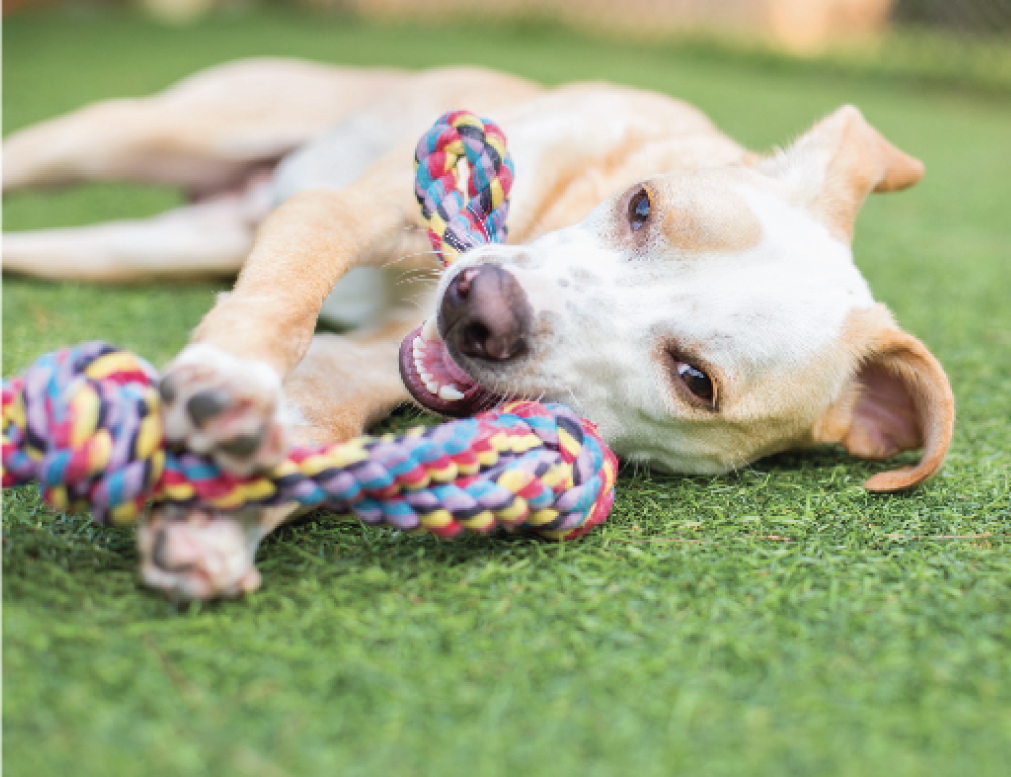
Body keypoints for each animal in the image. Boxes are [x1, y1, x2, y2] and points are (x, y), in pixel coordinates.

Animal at [3, 59, 954, 598]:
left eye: (695, 380)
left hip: (136, 248)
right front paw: (227, 377)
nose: (478, 307)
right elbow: (284, 296)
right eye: (643, 205)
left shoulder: (380, 358)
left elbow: (318, 411)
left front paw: (216, 516)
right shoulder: (340, 211)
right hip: (133, 134)